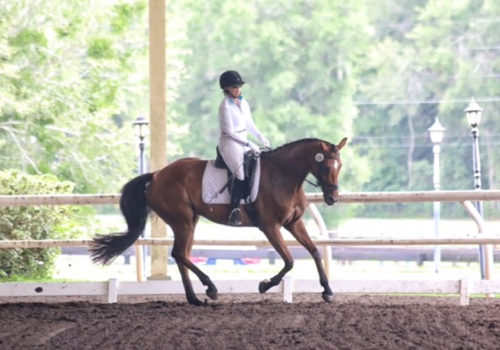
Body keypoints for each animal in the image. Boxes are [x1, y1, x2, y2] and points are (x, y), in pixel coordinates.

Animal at [90, 138, 346, 304]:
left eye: (339, 165)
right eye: (326, 165)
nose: (332, 198)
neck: (283, 176)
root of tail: (156, 176)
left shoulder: (293, 223)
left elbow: (314, 251)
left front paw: (327, 290)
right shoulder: (270, 227)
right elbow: (290, 260)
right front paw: (264, 285)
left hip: (189, 221)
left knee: (181, 255)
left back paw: (194, 298)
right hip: (182, 220)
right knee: (180, 254)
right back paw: (210, 288)